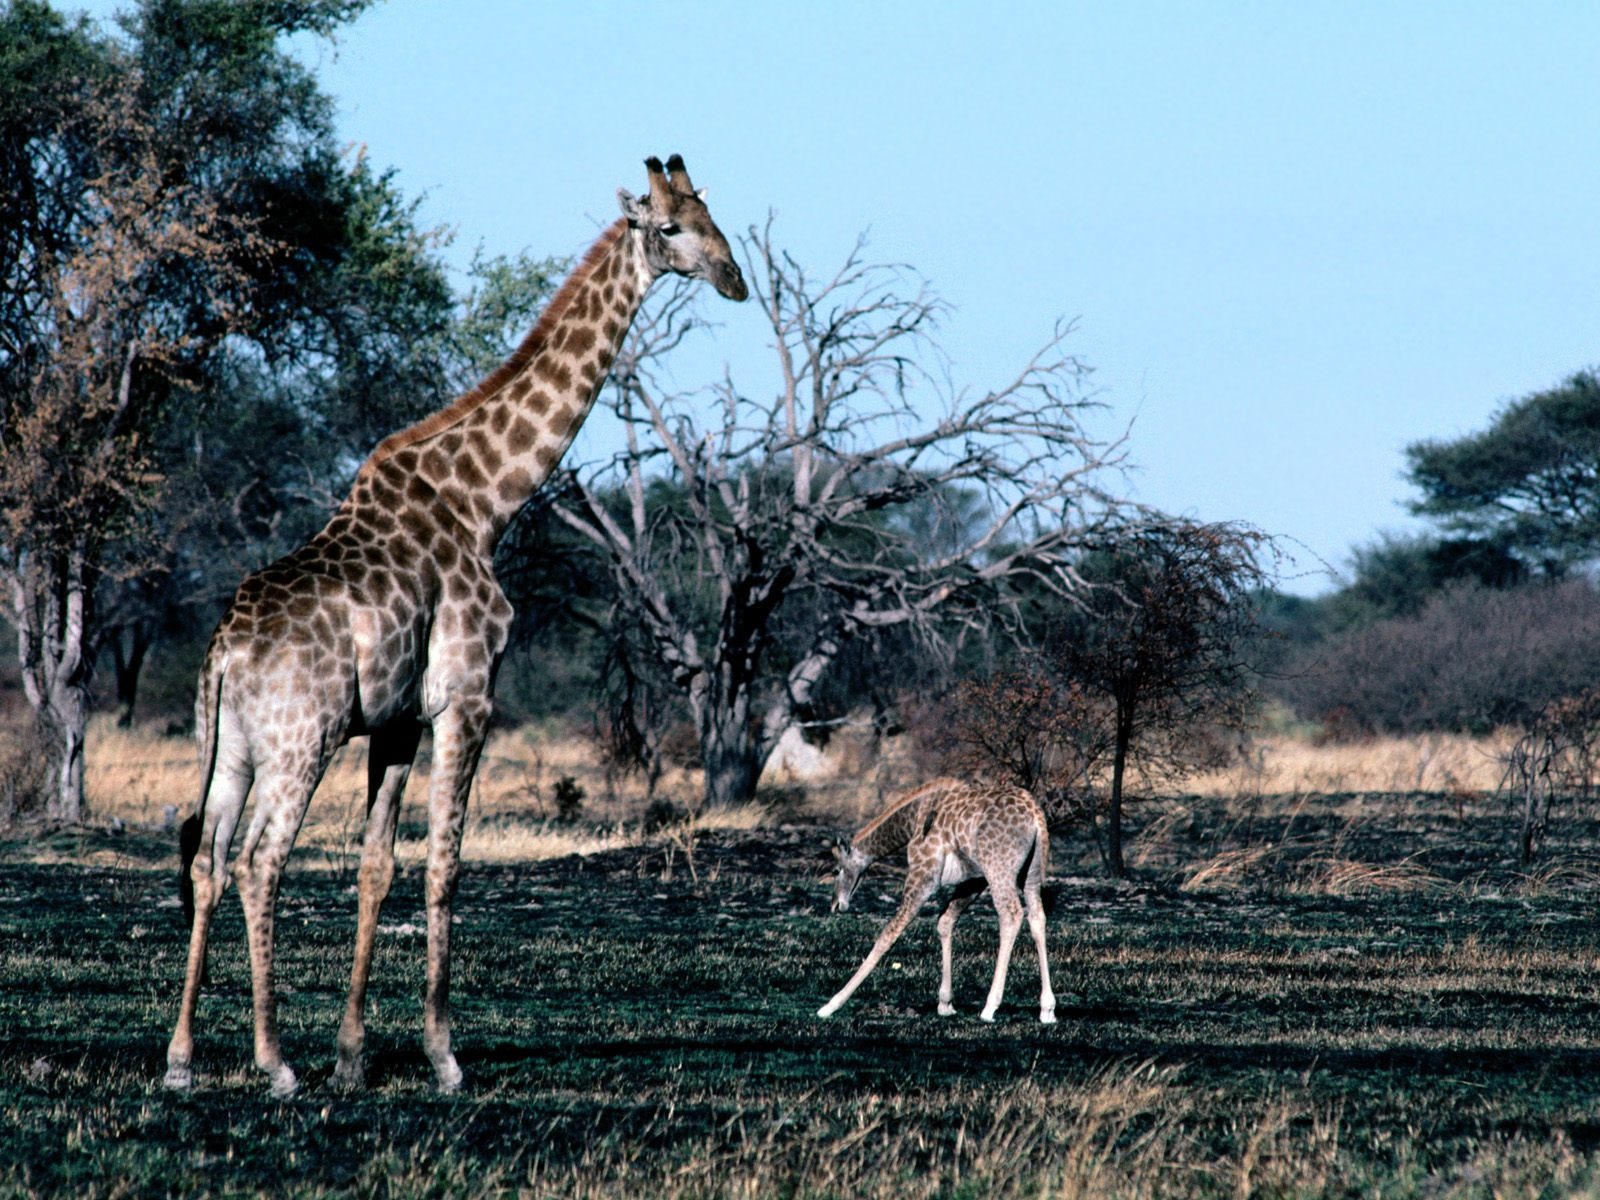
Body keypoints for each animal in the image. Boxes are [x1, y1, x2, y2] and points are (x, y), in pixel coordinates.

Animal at [162, 157, 748, 1100]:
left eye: (710, 215)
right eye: (668, 228)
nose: (734, 279)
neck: (486, 501)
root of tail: (225, 652)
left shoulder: (397, 722)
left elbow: (377, 866)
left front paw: (354, 1056)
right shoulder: (469, 697)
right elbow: (446, 863)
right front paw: (443, 1056)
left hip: (234, 745)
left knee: (210, 858)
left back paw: (182, 1059)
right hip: (302, 740)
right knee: (260, 860)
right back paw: (273, 1059)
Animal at [819, 780, 1056, 1024]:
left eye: (835, 870)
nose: (836, 904)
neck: (911, 819)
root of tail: (1035, 815)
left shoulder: (923, 875)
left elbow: (888, 935)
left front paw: (831, 1005)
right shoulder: (974, 879)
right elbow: (945, 921)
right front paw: (945, 1003)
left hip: (999, 869)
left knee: (1011, 915)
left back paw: (990, 1007)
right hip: (1031, 872)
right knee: (1037, 917)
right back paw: (1047, 1008)